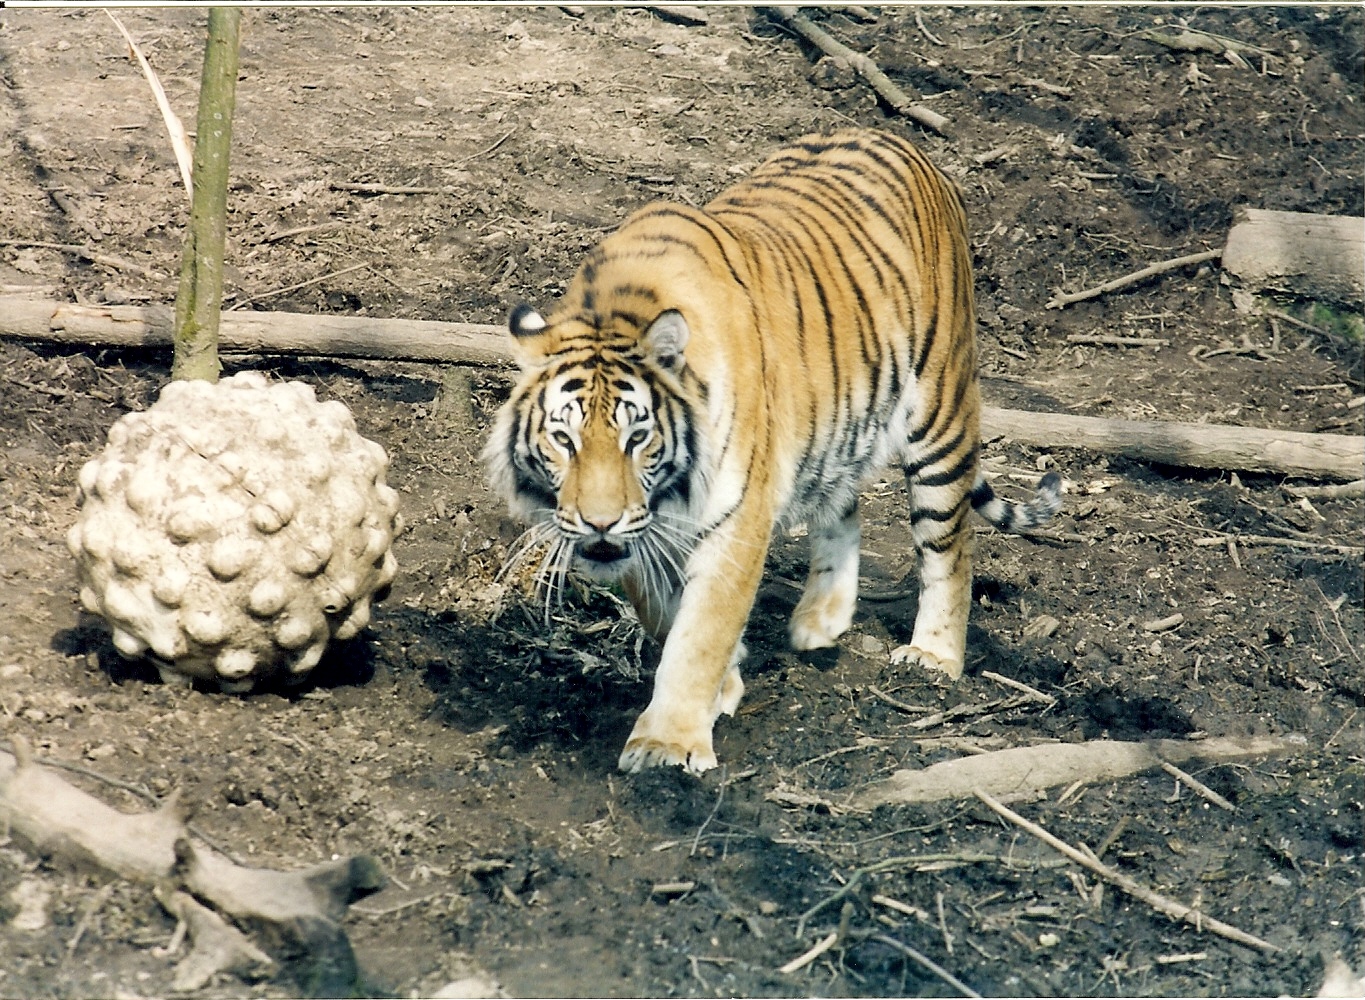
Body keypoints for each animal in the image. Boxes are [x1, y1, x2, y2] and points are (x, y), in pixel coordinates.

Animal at [483, 128, 1062, 774]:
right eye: (565, 440)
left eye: (637, 438)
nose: (599, 523)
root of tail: (897, 140)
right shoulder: (648, 537)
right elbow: (666, 616)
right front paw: (724, 685)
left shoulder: (735, 518)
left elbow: (701, 631)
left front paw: (666, 744)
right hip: (836, 424)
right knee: (843, 507)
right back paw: (822, 619)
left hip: (940, 415)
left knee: (949, 547)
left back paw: (933, 655)